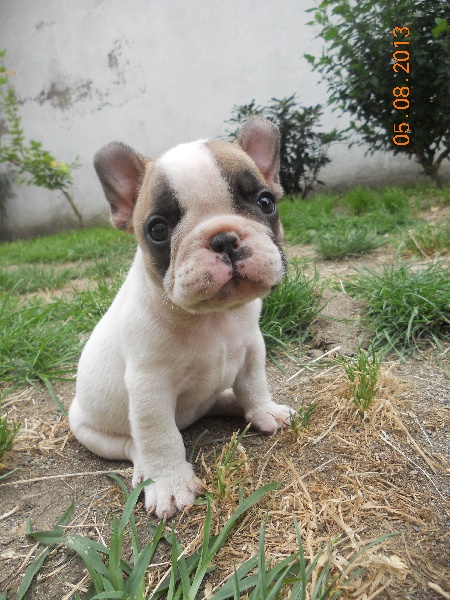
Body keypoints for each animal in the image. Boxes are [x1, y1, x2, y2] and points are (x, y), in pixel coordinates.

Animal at [68, 115, 294, 516]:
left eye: (266, 202)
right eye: (158, 228)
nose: (224, 238)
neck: (214, 317)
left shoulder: (253, 348)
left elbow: (254, 383)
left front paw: (263, 411)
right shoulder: (149, 387)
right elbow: (160, 436)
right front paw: (170, 484)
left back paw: (235, 404)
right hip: (90, 431)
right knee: (134, 446)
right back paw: (146, 469)